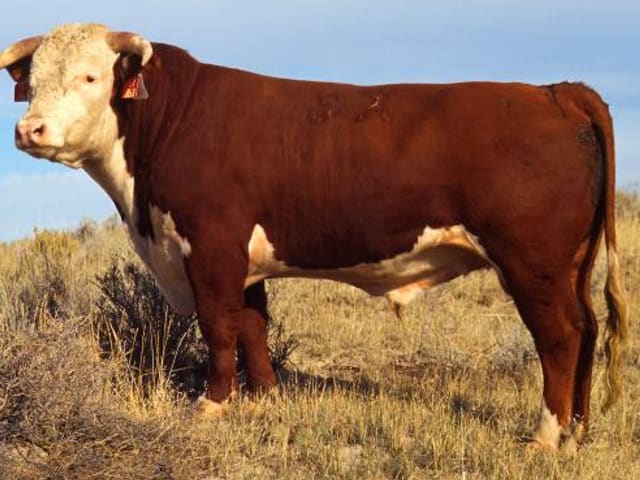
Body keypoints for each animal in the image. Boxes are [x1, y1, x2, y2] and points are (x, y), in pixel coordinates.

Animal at [0, 23, 627, 449]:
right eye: (33, 80)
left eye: (90, 76)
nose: (30, 130)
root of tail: (555, 91)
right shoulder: (243, 259)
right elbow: (252, 328)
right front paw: (263, 400)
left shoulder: (212, 247)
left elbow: (219, 328)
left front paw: (212, 406)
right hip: (572, 265)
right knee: (589, 327)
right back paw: (578, 429)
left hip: (533, 263)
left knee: (561, 335)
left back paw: (546, 435)